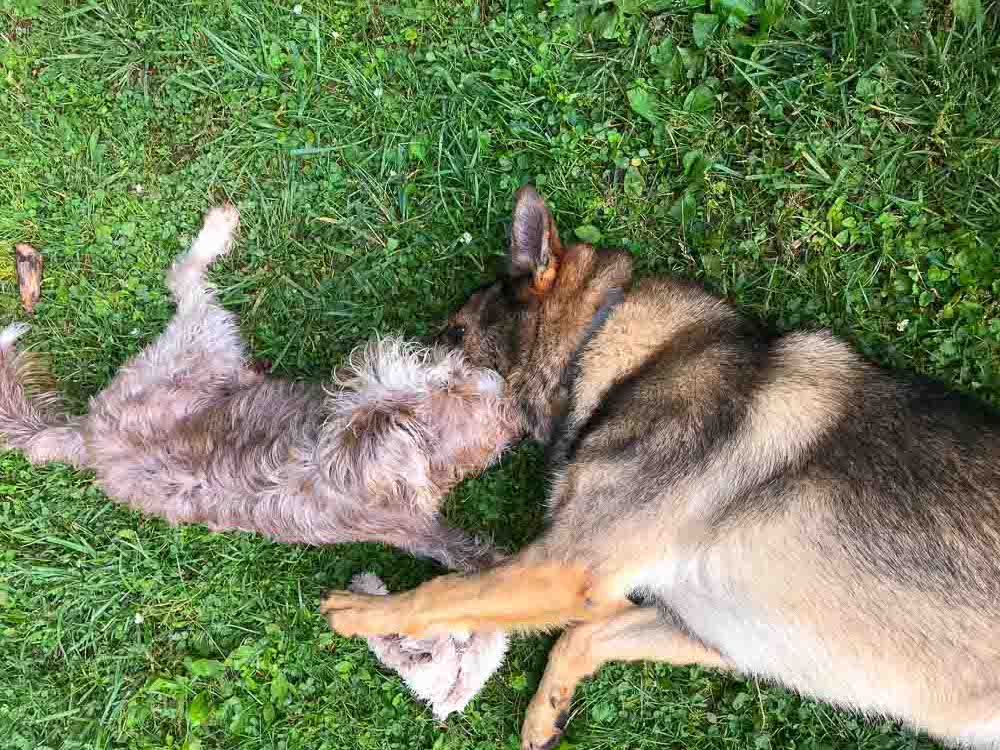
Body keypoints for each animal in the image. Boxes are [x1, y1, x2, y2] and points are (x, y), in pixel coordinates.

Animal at [322, 185, 1000, 748]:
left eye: (454, 332)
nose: (367, 377)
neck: (618, 353)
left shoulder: (565, 568)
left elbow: (444, 591)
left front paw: (364, 613)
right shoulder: (710, 628)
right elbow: (582, 634)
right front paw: (547, 713)